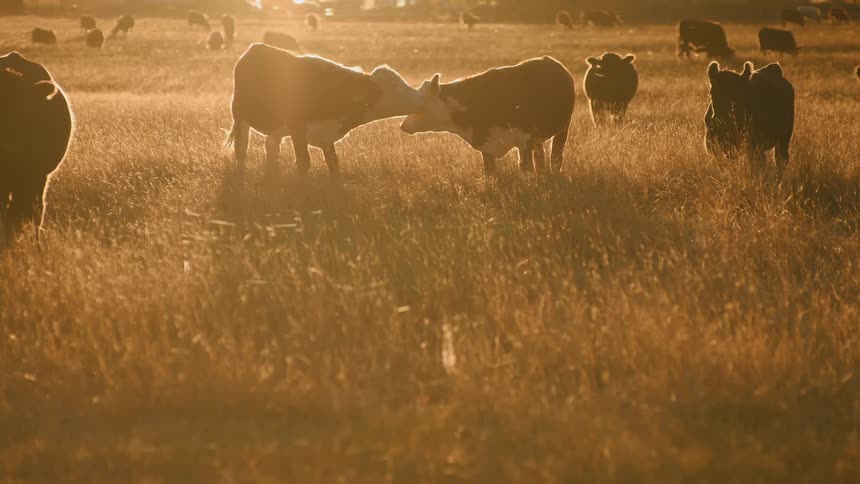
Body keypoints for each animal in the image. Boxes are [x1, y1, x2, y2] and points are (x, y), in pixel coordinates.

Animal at [228, 43, 421, 177]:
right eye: (395, 86)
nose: (419, 97)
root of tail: (256, 47)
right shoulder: (297, 127)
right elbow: (304, 161)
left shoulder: (327, 135)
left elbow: (333, 162)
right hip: (239, 117)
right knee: (241, 148)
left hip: (276, 127)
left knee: (271, 147)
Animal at [400, 56, 575, 175]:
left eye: (420, 103)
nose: (403, 125)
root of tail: (550, 60)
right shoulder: (487, 146)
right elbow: (490, 172)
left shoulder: (525, 140)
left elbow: (526, 169)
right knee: (541, 157)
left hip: (563, 129)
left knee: (556, 157)